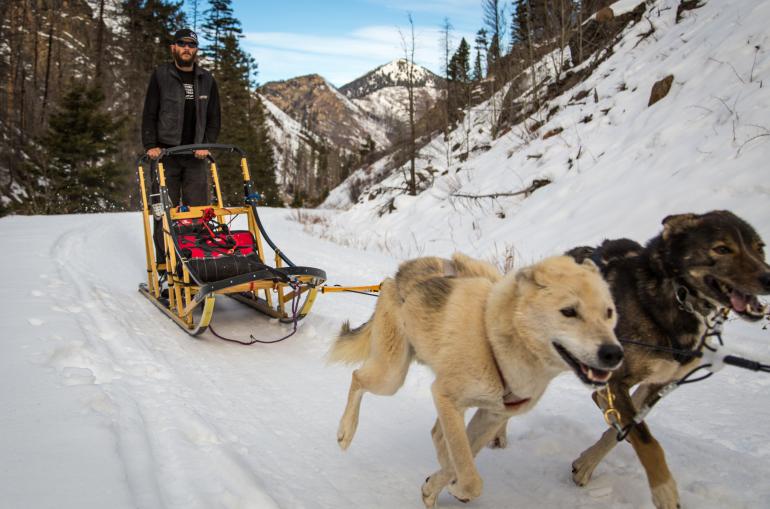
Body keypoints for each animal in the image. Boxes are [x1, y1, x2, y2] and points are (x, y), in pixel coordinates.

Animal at [328, 253, 620, 504]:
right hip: (391, 376)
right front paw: (457, 486)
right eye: (569, 311)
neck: (492, 338)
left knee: (438, 435)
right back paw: (345, 431)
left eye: (609, 312)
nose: (613, 353)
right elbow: (469, 475)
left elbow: (462, 457)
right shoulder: (446, 397)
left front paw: (437, 486)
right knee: (357, 378)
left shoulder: (492, 416)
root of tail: (396, 275)